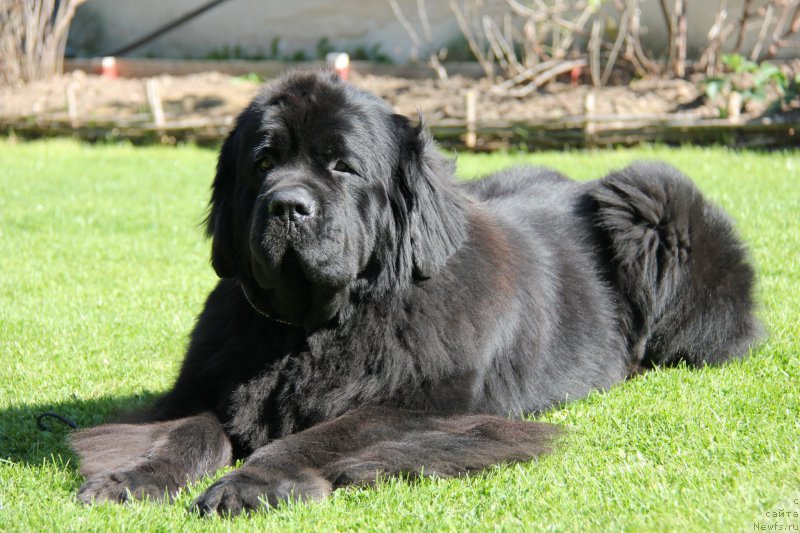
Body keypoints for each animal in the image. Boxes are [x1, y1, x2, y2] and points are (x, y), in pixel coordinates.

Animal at [70, 68, 764, 512]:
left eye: (343, 166)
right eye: (262, 162)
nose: (287, 205)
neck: (315, 328)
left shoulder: (431, 408)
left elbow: (325, 434)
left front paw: (250, 484)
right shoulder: (201, 388)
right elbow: (185, 430)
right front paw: (132, 478)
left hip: (649, 193)